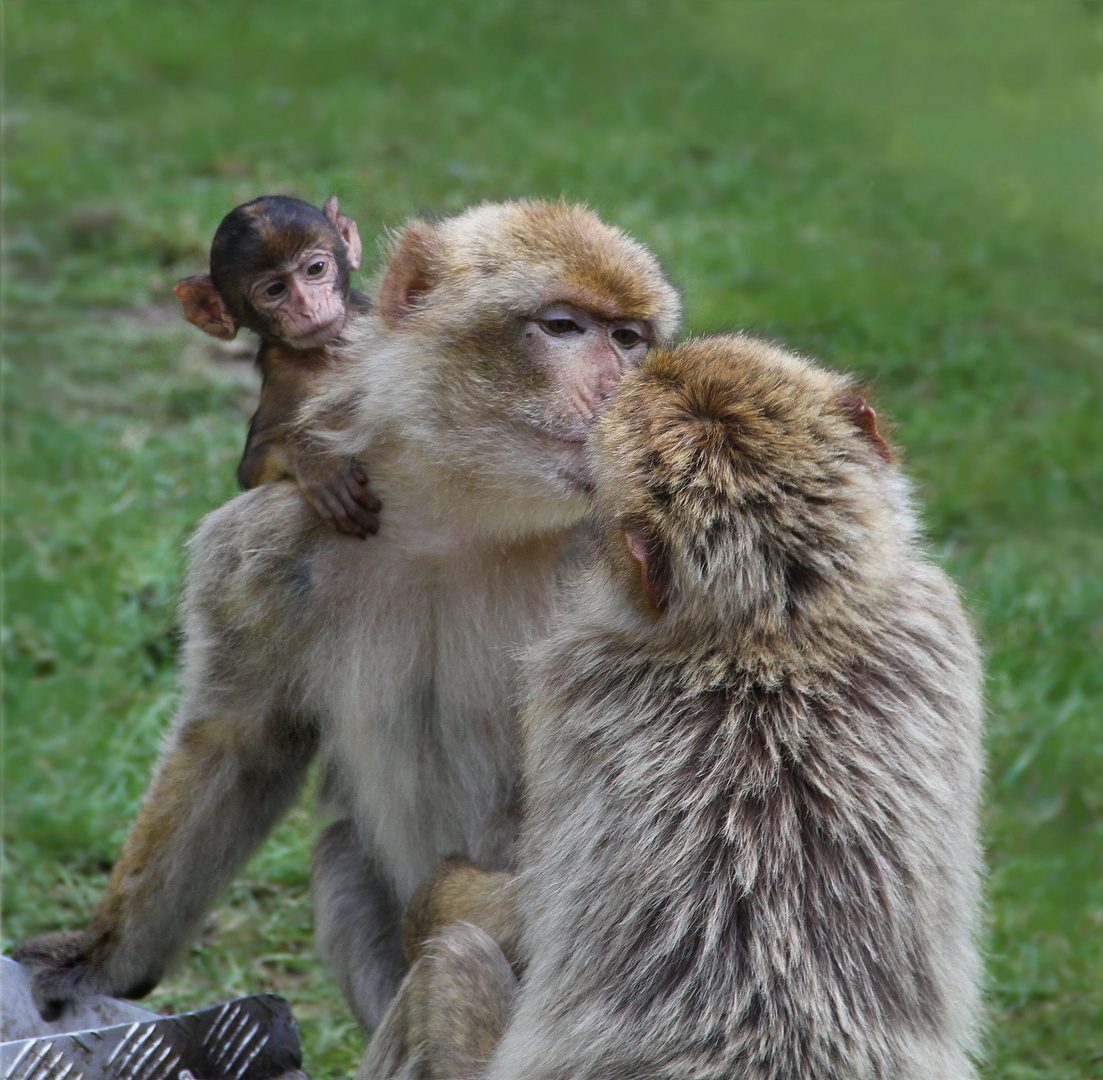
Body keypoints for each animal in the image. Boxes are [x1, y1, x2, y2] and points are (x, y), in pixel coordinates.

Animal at [173, 195, 379, 540]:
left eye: (316, 269)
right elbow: (253, 469)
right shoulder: (283, 376)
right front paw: (314, 460)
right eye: (275, 290)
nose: (309, 306)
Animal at [366, 335, 988, 1080]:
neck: (767, 630)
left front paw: (437, 897)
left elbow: (521, 912)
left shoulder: (569, 680)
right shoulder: (931, 610)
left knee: (450, 963)